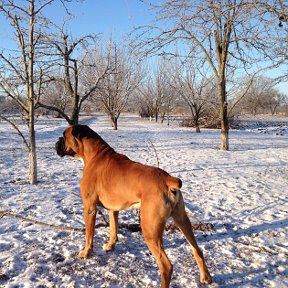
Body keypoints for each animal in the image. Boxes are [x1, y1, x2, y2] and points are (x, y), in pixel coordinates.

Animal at [55, 124, 212, 288]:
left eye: (64, 136)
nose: (56, 141)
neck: (95, 154)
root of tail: (167, 179)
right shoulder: (113, 209)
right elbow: (113, 229)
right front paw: (110, 246)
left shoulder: (89, 208)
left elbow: (89, 235)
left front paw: (86, 253)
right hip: (182, 220)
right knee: (197, 250)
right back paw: (206, 277)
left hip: (149, 229)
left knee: (166, 266)